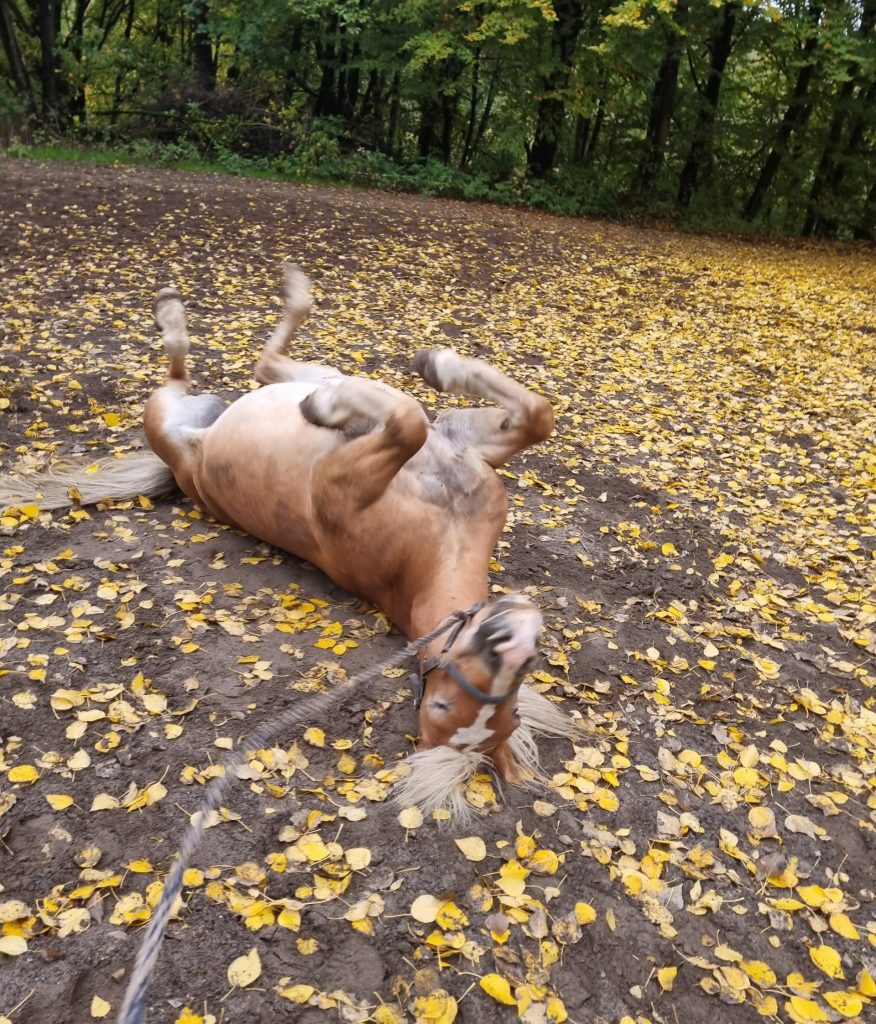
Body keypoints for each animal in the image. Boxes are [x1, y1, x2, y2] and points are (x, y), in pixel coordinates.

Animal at [1, 266, 578, 815]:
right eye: (439, 705)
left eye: (508, 706)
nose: (512, 637)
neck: (440, 542)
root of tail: (186, 460)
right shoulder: (461, 441)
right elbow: (527, 415)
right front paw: (431, 368)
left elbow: (428, 421)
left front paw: (347, 400)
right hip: (210, 400)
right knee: (249, 364)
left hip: (167, 416)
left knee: (231, 365)